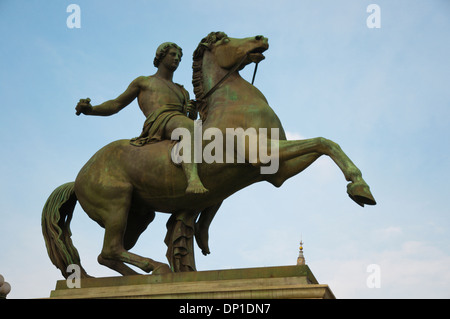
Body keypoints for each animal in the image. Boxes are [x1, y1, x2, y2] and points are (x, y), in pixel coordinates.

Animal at [42, 31, 374, 278]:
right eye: (225, 40)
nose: (261, 38)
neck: (235, 105)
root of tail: (78, 177)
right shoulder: (263, 153)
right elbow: (324, 142)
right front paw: (361, 188)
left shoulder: (277, 171)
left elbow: (325, 144)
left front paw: (359, 187)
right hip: (116, 204)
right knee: (109, 249)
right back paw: (156, 267)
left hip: (138, 214)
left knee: (109, 253)